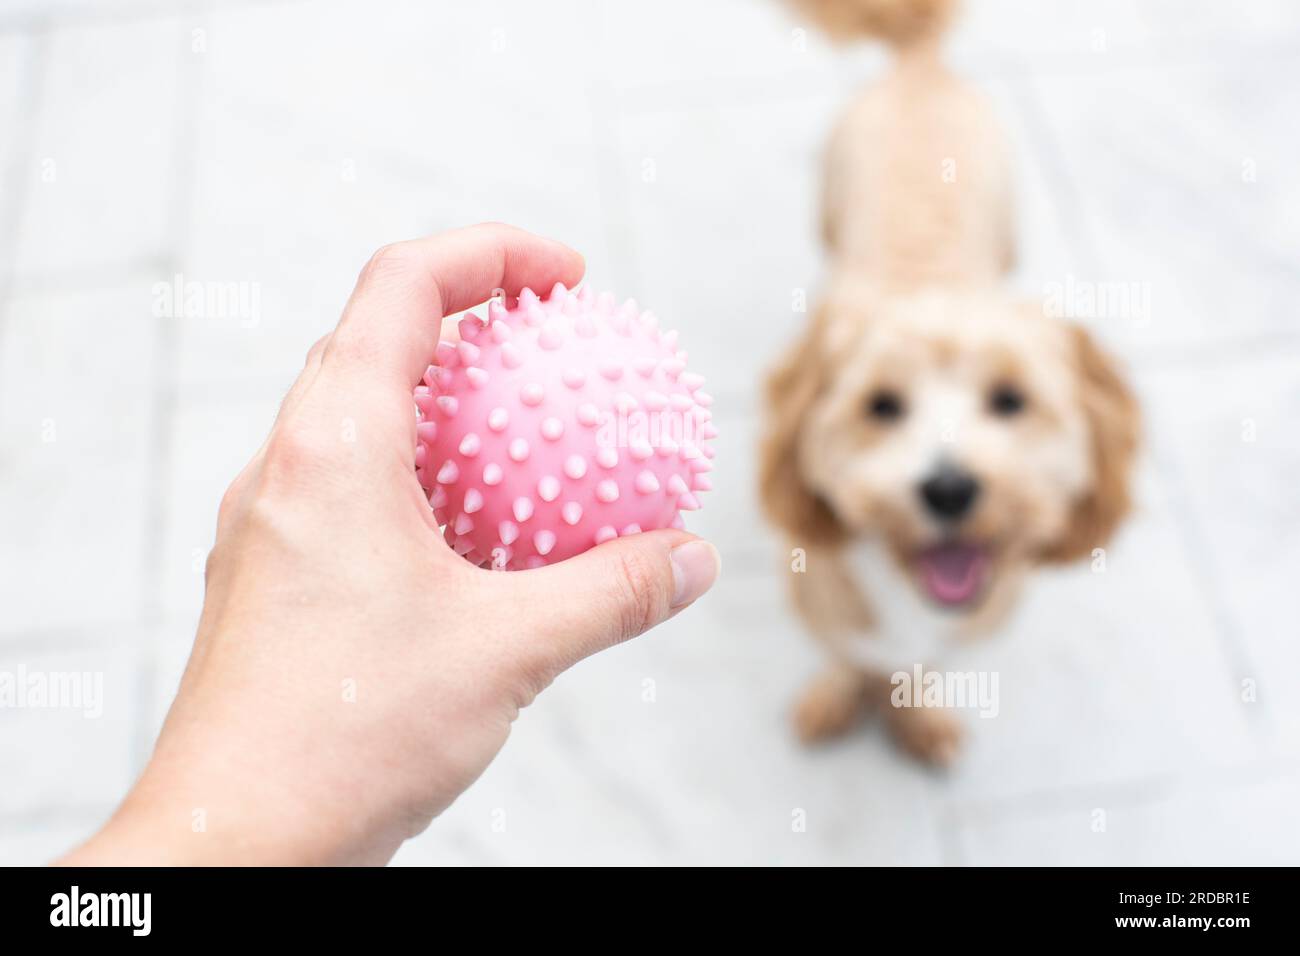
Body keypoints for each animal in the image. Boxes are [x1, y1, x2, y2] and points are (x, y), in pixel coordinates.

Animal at [759, 0, 1138, 764]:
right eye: (881, 406)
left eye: (1011, 401)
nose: (950, 489)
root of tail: (921, 65)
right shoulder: (821, 599)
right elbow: (846, 655)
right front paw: (839, 694)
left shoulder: (972, 627)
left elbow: (919, 668)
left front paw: (916, 713)